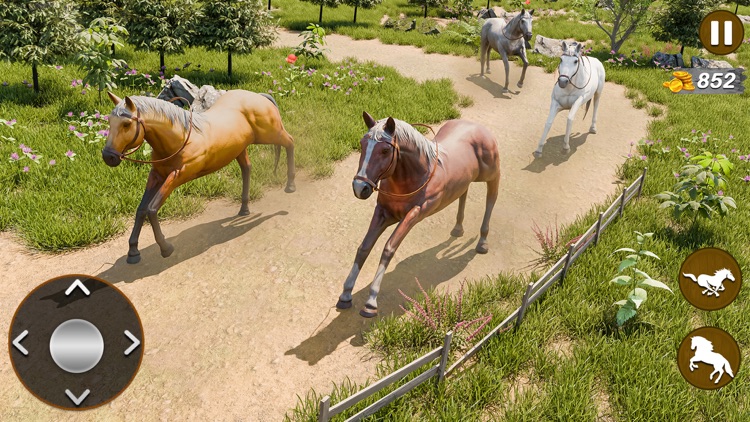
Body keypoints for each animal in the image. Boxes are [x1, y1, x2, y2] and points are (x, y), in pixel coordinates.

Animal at [101, 90, 296, 264]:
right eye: (109, 121)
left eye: (126, 124)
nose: (108, 156)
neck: (180, 138)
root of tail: (260, 96)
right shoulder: (156, 175)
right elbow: (141, 209)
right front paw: (133, 252)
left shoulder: (179, 175)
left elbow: (151, 209)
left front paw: (166, 248)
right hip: (240, 148)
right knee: (247, 169)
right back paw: (244, 209)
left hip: (272, 134)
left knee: (290, 142)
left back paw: (290, 186)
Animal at [336, 112, 501, 317]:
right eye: (362, 144)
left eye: (385, 150)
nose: (360, 187)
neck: (418, 175)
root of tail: (479, 128)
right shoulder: (383, 212)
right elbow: (364, 247)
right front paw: (346, 294)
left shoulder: (415, 213)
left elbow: (388, 248)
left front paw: (371, 302)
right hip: (464, 179)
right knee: (464, 193)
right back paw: (457, 229)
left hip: (491, 175)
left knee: (491, 198)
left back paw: (483, 242)